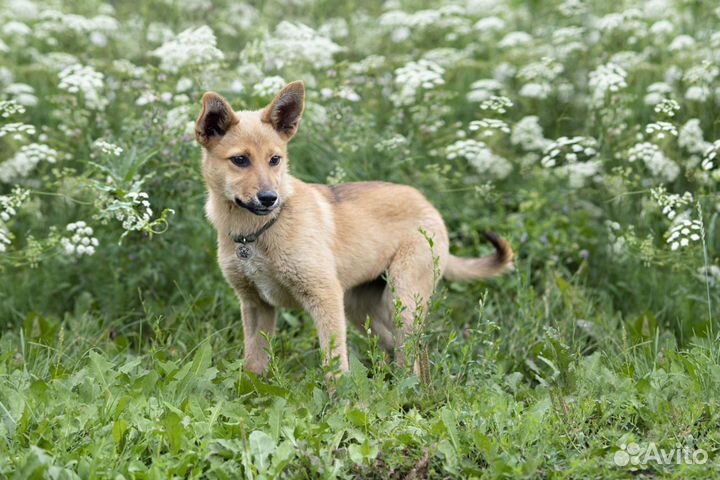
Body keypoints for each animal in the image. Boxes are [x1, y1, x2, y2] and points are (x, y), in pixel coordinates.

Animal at [194, 81, 516, 376]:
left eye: (275, 160)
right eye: (240, 160)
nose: (269, 198)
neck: (257, 233)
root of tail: (426, 203)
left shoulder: (324, 297)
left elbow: (335, 365)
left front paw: (341, 400)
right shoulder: (255, 305)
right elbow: (254, 364)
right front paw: (252, 394)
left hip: (403, 301)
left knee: (409, 353)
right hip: (361, 308)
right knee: (398, 348)